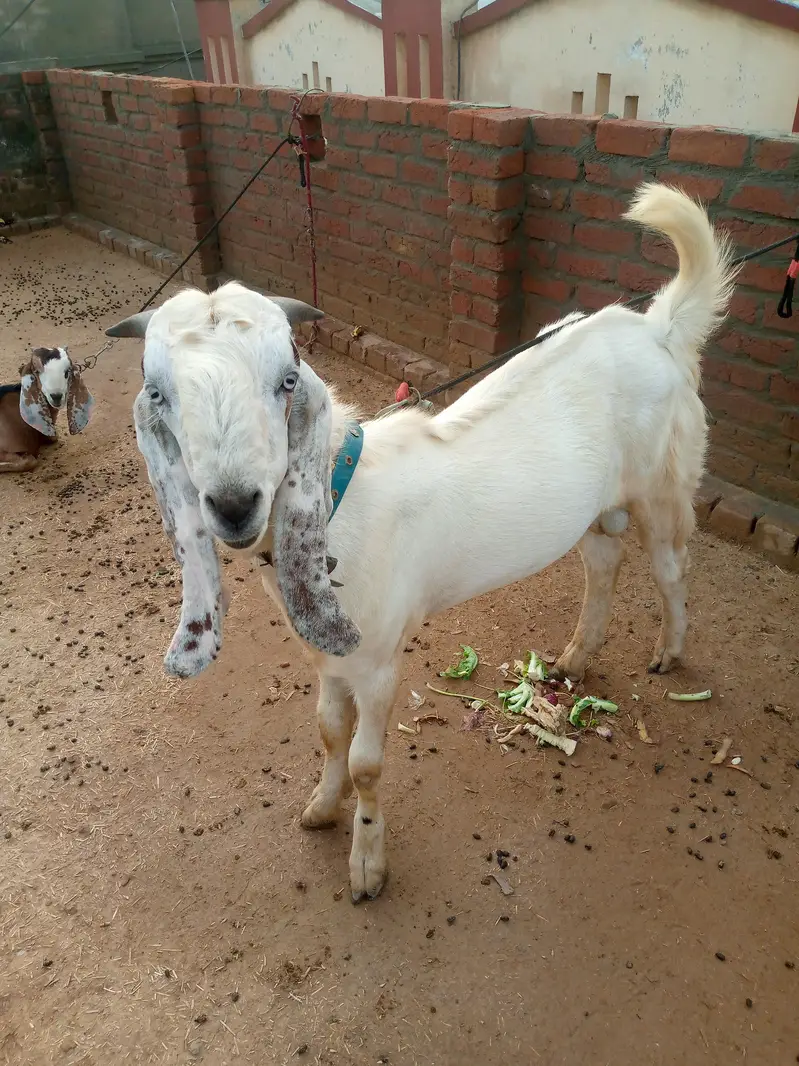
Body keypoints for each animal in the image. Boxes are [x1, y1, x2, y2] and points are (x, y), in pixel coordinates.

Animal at [107, 183, 736, 901]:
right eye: (157, 391)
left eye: (286, 379)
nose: (235, 504)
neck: (340, 502)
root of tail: (657, 328)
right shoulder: (330, 658)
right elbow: (327, 733)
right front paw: (320, 809)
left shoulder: (379, 657)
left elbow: (365, 764)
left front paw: (366, 866)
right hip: (596, 506)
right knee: (603, 560)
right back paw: (576, 657)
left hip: (663, 482)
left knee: (669, 566)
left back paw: (669, 652)